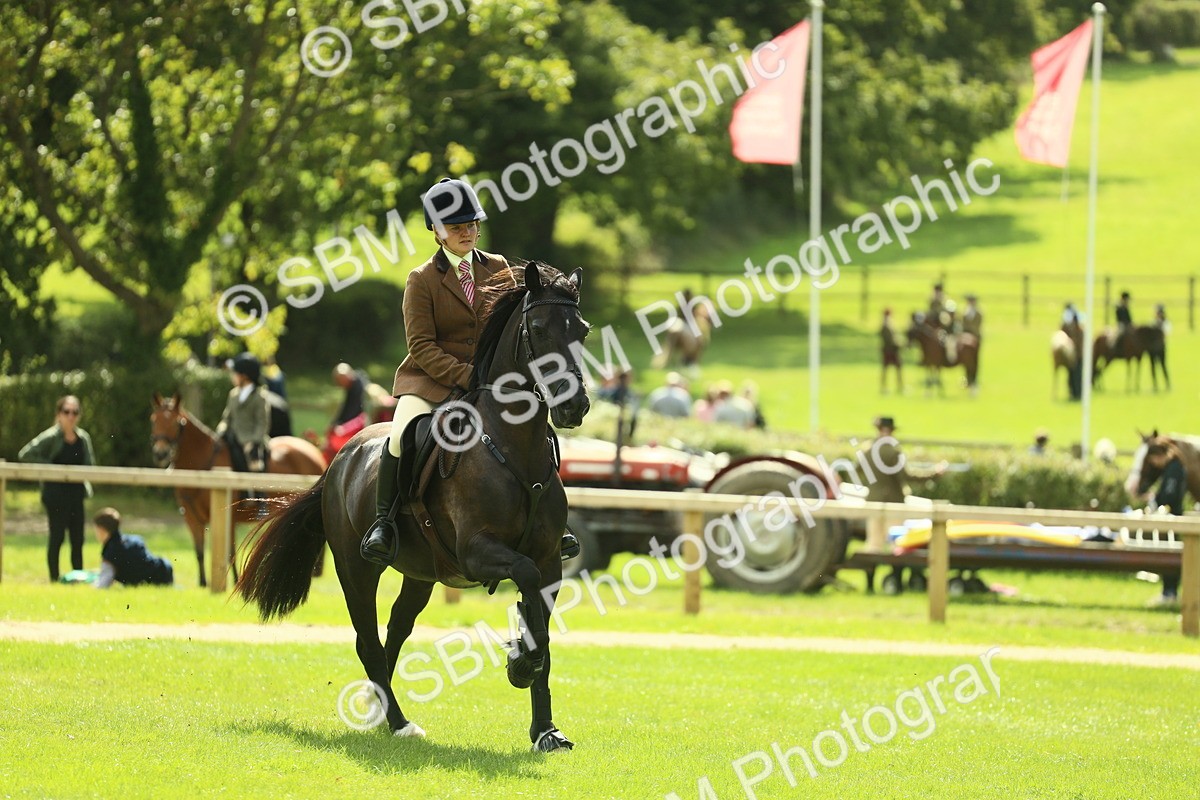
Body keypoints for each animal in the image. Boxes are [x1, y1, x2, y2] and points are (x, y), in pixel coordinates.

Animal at [149, 392, 327, 587]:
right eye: (154, 420)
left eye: (176, 423)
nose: (160, 454)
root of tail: (313, 450)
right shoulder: (192, 518)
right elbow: (199, 552)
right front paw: (203, 583)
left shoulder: (227, 517)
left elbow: (230, 552)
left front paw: (234, 581)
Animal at [235, 263, 590, 751]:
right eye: (537, 328)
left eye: (583, 331)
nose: (574, 406)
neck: (513, 447)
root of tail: (338, 460)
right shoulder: (478, 553)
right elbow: (526, 583)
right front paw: (519, 665)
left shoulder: (550, 558)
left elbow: (542, 631)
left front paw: (546, 730)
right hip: (356, 568)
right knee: (367, 641)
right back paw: (399, 722)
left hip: (421, 574)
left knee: (395, 631)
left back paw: (378, 709)